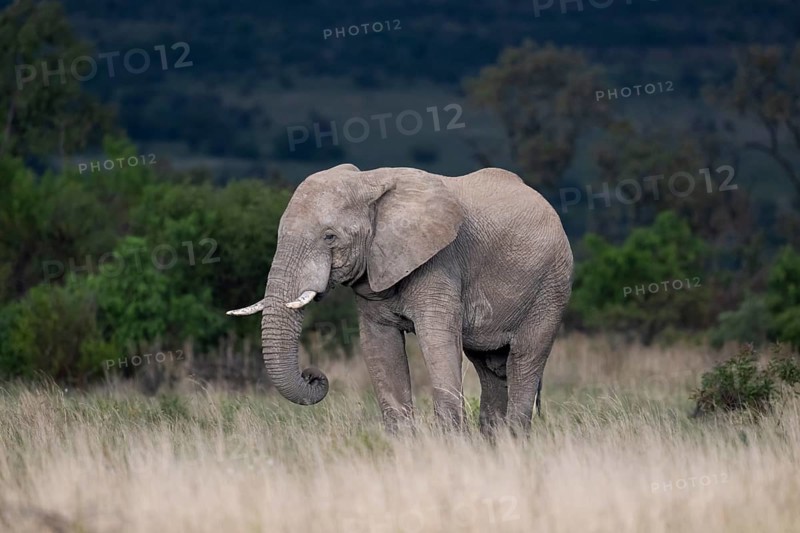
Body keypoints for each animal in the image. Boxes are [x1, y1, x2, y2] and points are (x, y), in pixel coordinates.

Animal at [227, 163, 573, 435]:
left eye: (329, 237)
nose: (313, 375)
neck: (369, 182)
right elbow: (380, 348)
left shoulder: (440, 262)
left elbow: (438, 342)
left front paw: (451, 448)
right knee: (491, 367)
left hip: (551, 288)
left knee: (524, 360)